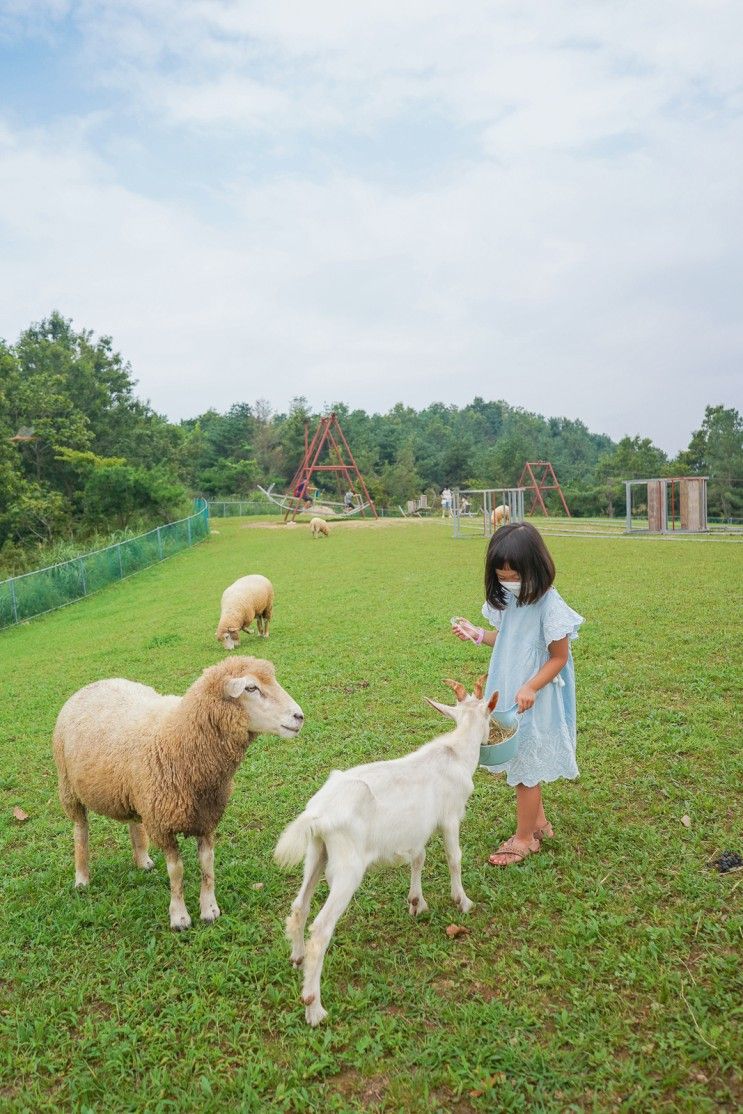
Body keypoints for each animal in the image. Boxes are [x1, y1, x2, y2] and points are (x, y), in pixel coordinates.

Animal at [52, 655, 302, 926]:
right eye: (251, 688)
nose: (299, 716)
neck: (178, 738)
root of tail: (92, 684)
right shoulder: (163, 825)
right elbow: (176, 871)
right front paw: (180, 916)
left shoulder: (206, 817)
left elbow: (207, 864)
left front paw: (209, 909)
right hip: (68, 788)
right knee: (80, 831)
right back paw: (82, 878)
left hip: (132, 792)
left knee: (133, 822)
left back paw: (142, 860)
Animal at [275, 672, 499, 1020]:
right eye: (489, 715)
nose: (490, 739)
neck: (454, 752)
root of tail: (318, 813)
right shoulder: (449, 818)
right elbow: (454, 858)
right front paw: (462, 901)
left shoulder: (416, 830)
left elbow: (419, 858)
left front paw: (416, 903)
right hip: (348, 868)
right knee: (321, 930)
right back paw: (314, 1007)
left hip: (317, 852)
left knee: (299, 906)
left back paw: (297, 958)